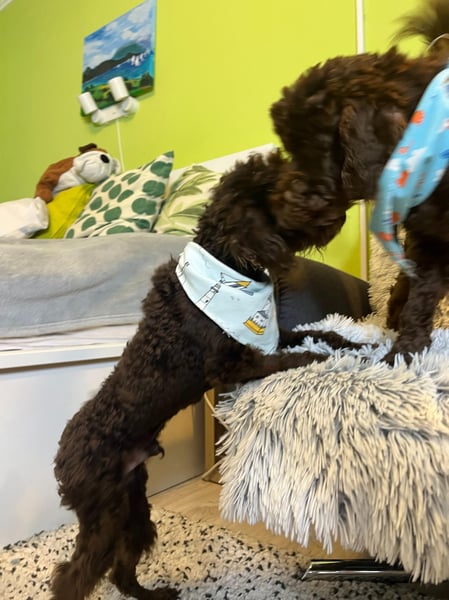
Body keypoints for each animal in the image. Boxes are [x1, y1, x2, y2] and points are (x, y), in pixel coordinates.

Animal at [51, 149, 365, 600]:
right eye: (289, 186)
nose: (344, 205)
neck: (230, 267)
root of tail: (60, 461)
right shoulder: (232, 365)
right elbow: (294, 357)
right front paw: (322, 359)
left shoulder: (272, 339)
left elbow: (319, 333)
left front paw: (351, 343)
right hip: (105, 514)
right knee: (73, 576)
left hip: (133, 507)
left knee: (120, 570)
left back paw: (154, 594)